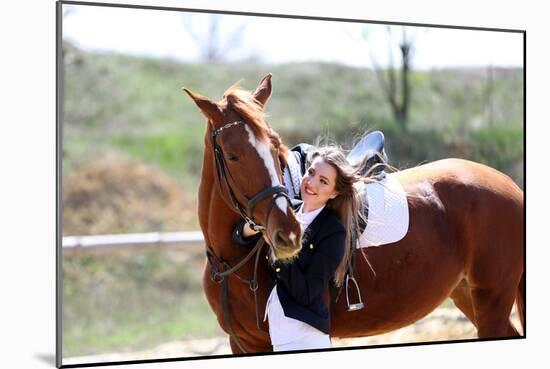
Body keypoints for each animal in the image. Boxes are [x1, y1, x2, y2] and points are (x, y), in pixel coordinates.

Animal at [184, 73, 528, 352]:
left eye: (275, 146)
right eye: (232, 155)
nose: (289, 235)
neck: (230, 260)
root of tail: (511, 186)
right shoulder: (242, 343)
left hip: (492, 297)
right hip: (466, 292)